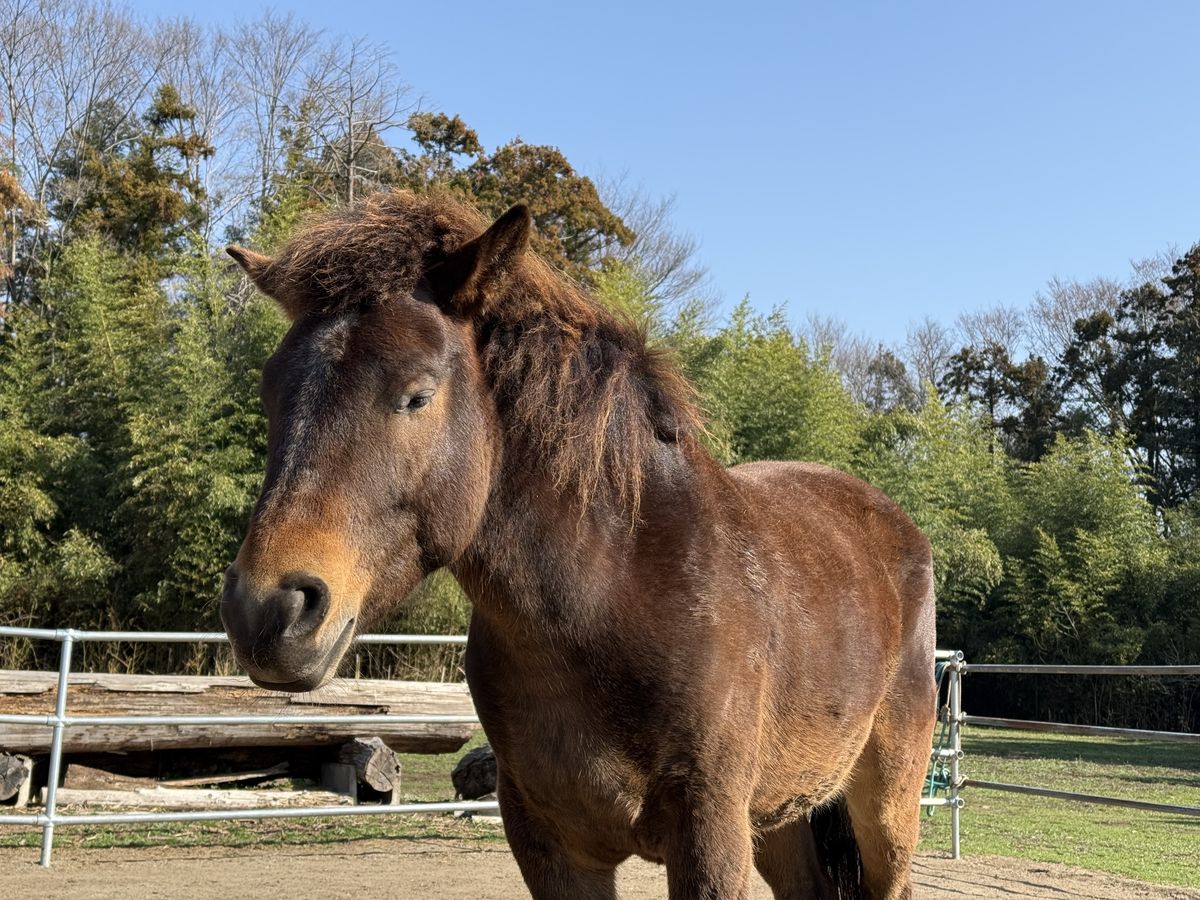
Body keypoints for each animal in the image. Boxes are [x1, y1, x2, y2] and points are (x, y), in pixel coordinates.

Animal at [220, 191, 937, 900]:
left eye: (416, 394)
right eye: (271, 392)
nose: (268, 609)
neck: (618, 592)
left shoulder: (711, 832)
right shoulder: (551, 842)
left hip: (886, 805)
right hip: (784, 816)